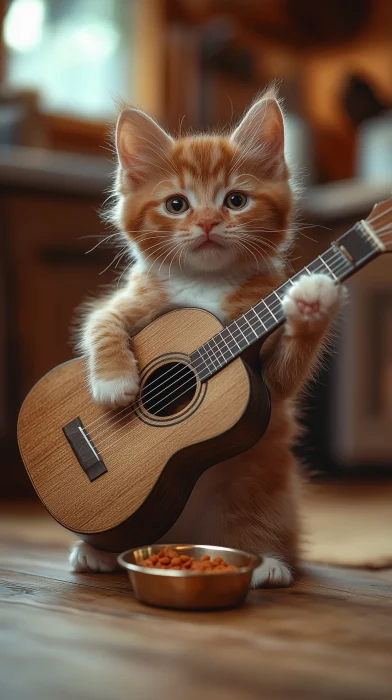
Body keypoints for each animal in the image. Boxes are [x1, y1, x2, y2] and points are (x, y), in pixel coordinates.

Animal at [69, 90, 340, 588]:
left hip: (261, 482)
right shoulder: (129, 299)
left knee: (256, 520)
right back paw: (95, 551)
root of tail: (182, 533)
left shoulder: (268, 383)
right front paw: (115, 383)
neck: (203, 283)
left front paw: (312, 303)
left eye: (235, 200)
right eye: (177, 204)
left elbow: (286, 375)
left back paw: (266, 562)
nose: (210, 222)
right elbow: (100, 322)